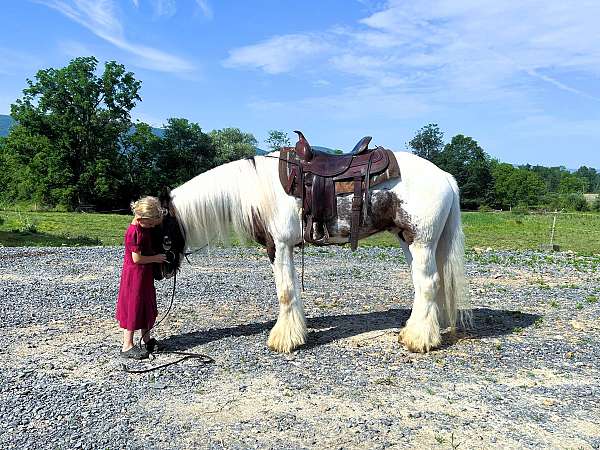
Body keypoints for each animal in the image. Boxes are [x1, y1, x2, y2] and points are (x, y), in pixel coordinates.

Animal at [154, 132, 468, 354]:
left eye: (160, 233)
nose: (159, 272)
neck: (260, 188)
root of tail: (445, 176)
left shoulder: (279, 246)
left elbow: (285, 291)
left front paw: (284, 340)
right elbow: (291, 288)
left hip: (421, 241)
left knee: (428, 283)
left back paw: (418, 339)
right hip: (408, 240)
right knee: (423, 284)